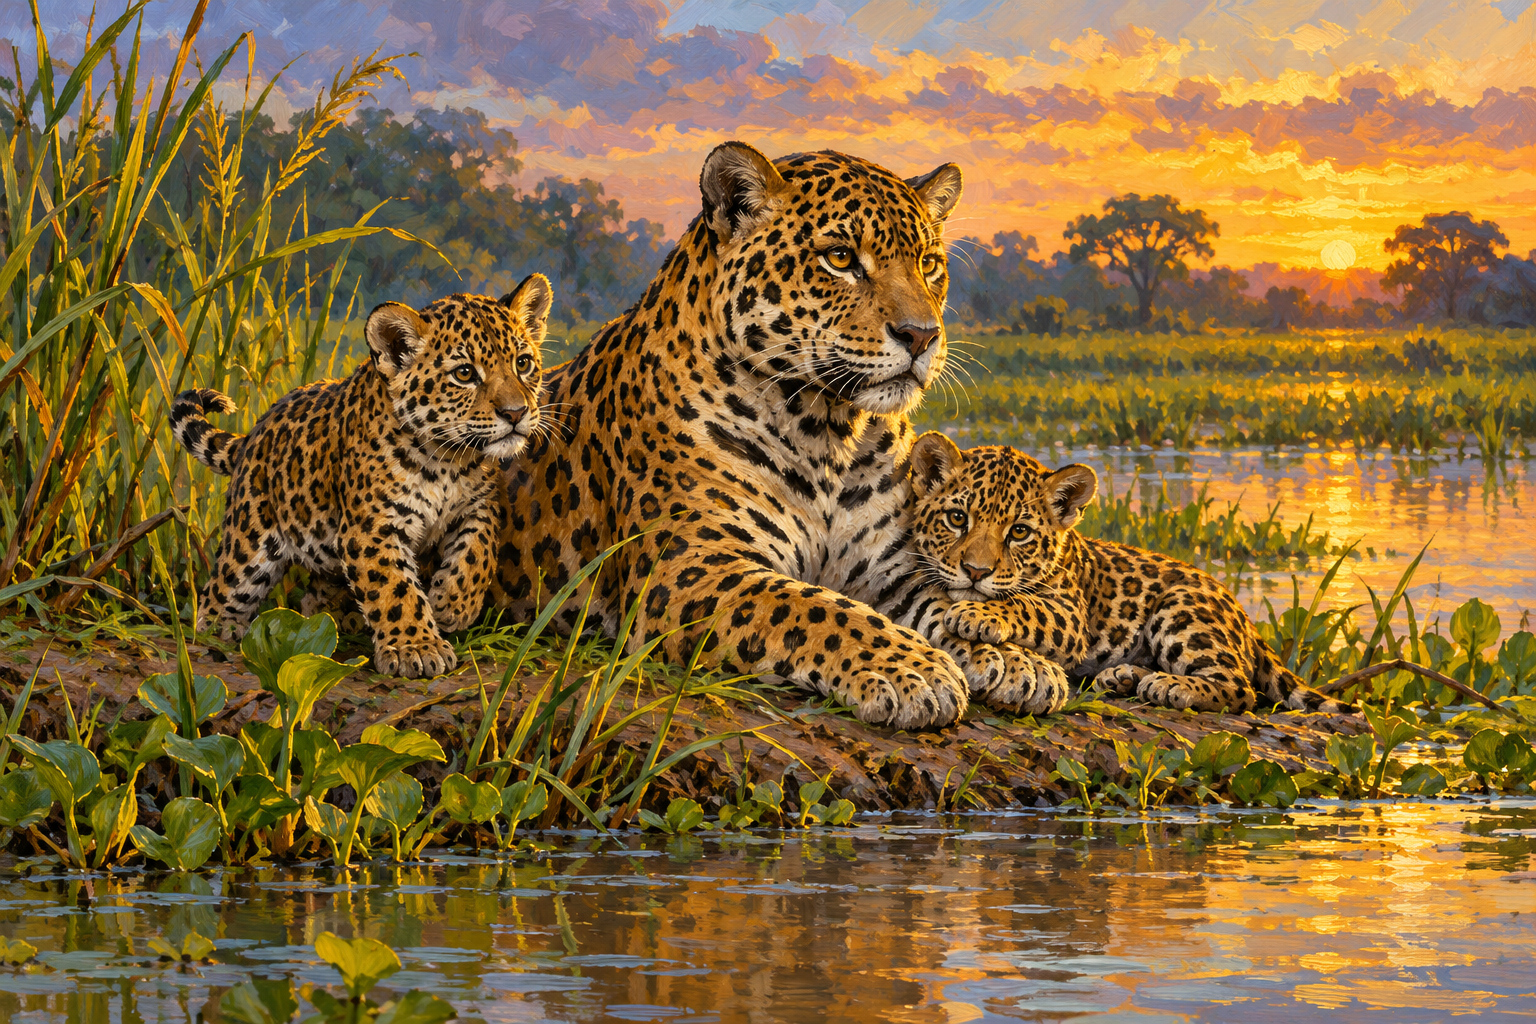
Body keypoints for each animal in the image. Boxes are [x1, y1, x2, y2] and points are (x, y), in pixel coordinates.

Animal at [170, 275, 553, 678]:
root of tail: (254, 433)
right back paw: (218, 631)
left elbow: (478, 552)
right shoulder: (372, 527)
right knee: (220, 590)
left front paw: (452, 603)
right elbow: (394, 589)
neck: (447, 460)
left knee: (314, 598)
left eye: (524, 363)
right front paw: (417, 648)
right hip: (250, 540)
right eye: (464, 373)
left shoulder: (479, 505)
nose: (516, 412)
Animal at [486, 142, 1063, 729]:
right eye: (840, 258)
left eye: (928, 264)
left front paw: (1014, 658)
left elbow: (945, 598)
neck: (829, 431)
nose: (922, 336)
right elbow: (815, 608)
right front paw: (913, 669)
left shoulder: (894, 565)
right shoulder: (691, 567)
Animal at [904, 432, 1346, 714]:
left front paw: (973, 614)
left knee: (1241, 690)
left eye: (1019, 532)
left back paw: (1168, 686)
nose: (975, 571)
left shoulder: (1069, 615)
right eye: (957, 518)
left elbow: (1026, 607)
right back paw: (1125, 678)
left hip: (1181, 607)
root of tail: (1244, 617)